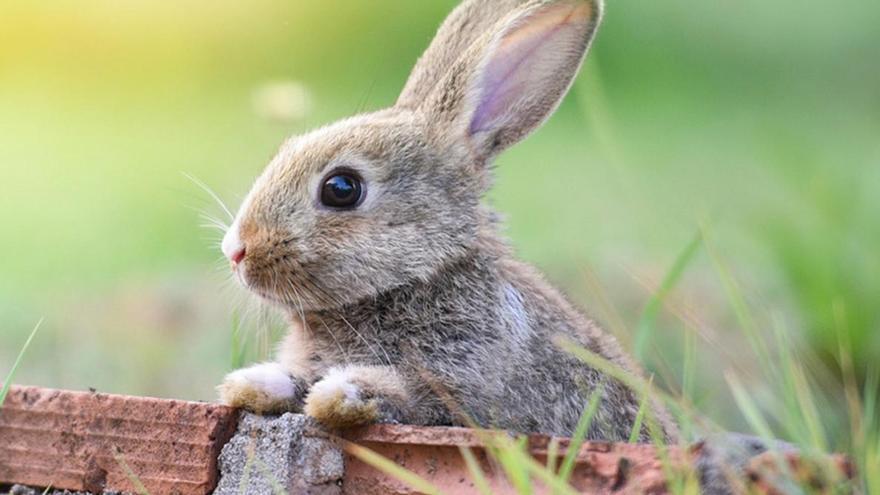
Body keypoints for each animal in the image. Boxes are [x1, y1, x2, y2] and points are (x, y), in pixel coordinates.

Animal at [217, 0, 676, 444]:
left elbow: (404, 395)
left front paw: (341, 393)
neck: (421, 276)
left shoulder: (459, 383)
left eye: (341, 188)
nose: (236, 250)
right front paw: (251, 383)